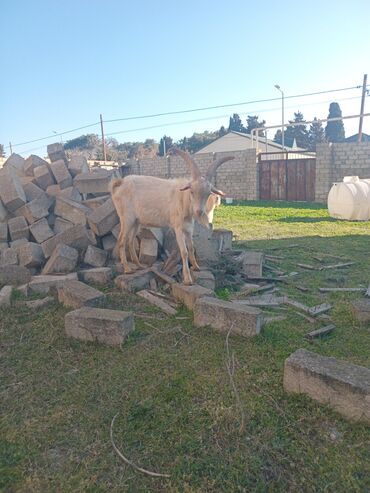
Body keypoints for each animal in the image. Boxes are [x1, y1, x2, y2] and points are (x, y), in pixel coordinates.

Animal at [108, 148, 234, 282]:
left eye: (208, 193)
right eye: (192, 191)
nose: (198, 212)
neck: (182, 198)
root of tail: (120, 183)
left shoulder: (188, 228)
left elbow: (191, 247)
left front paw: (196, 267)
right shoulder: (177, 227)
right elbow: (184, 251)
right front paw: (187, 279)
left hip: (136, 221)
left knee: (130, 241)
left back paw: (139, 265)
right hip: (126, 219)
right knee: (121, 240)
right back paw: (127, 269)